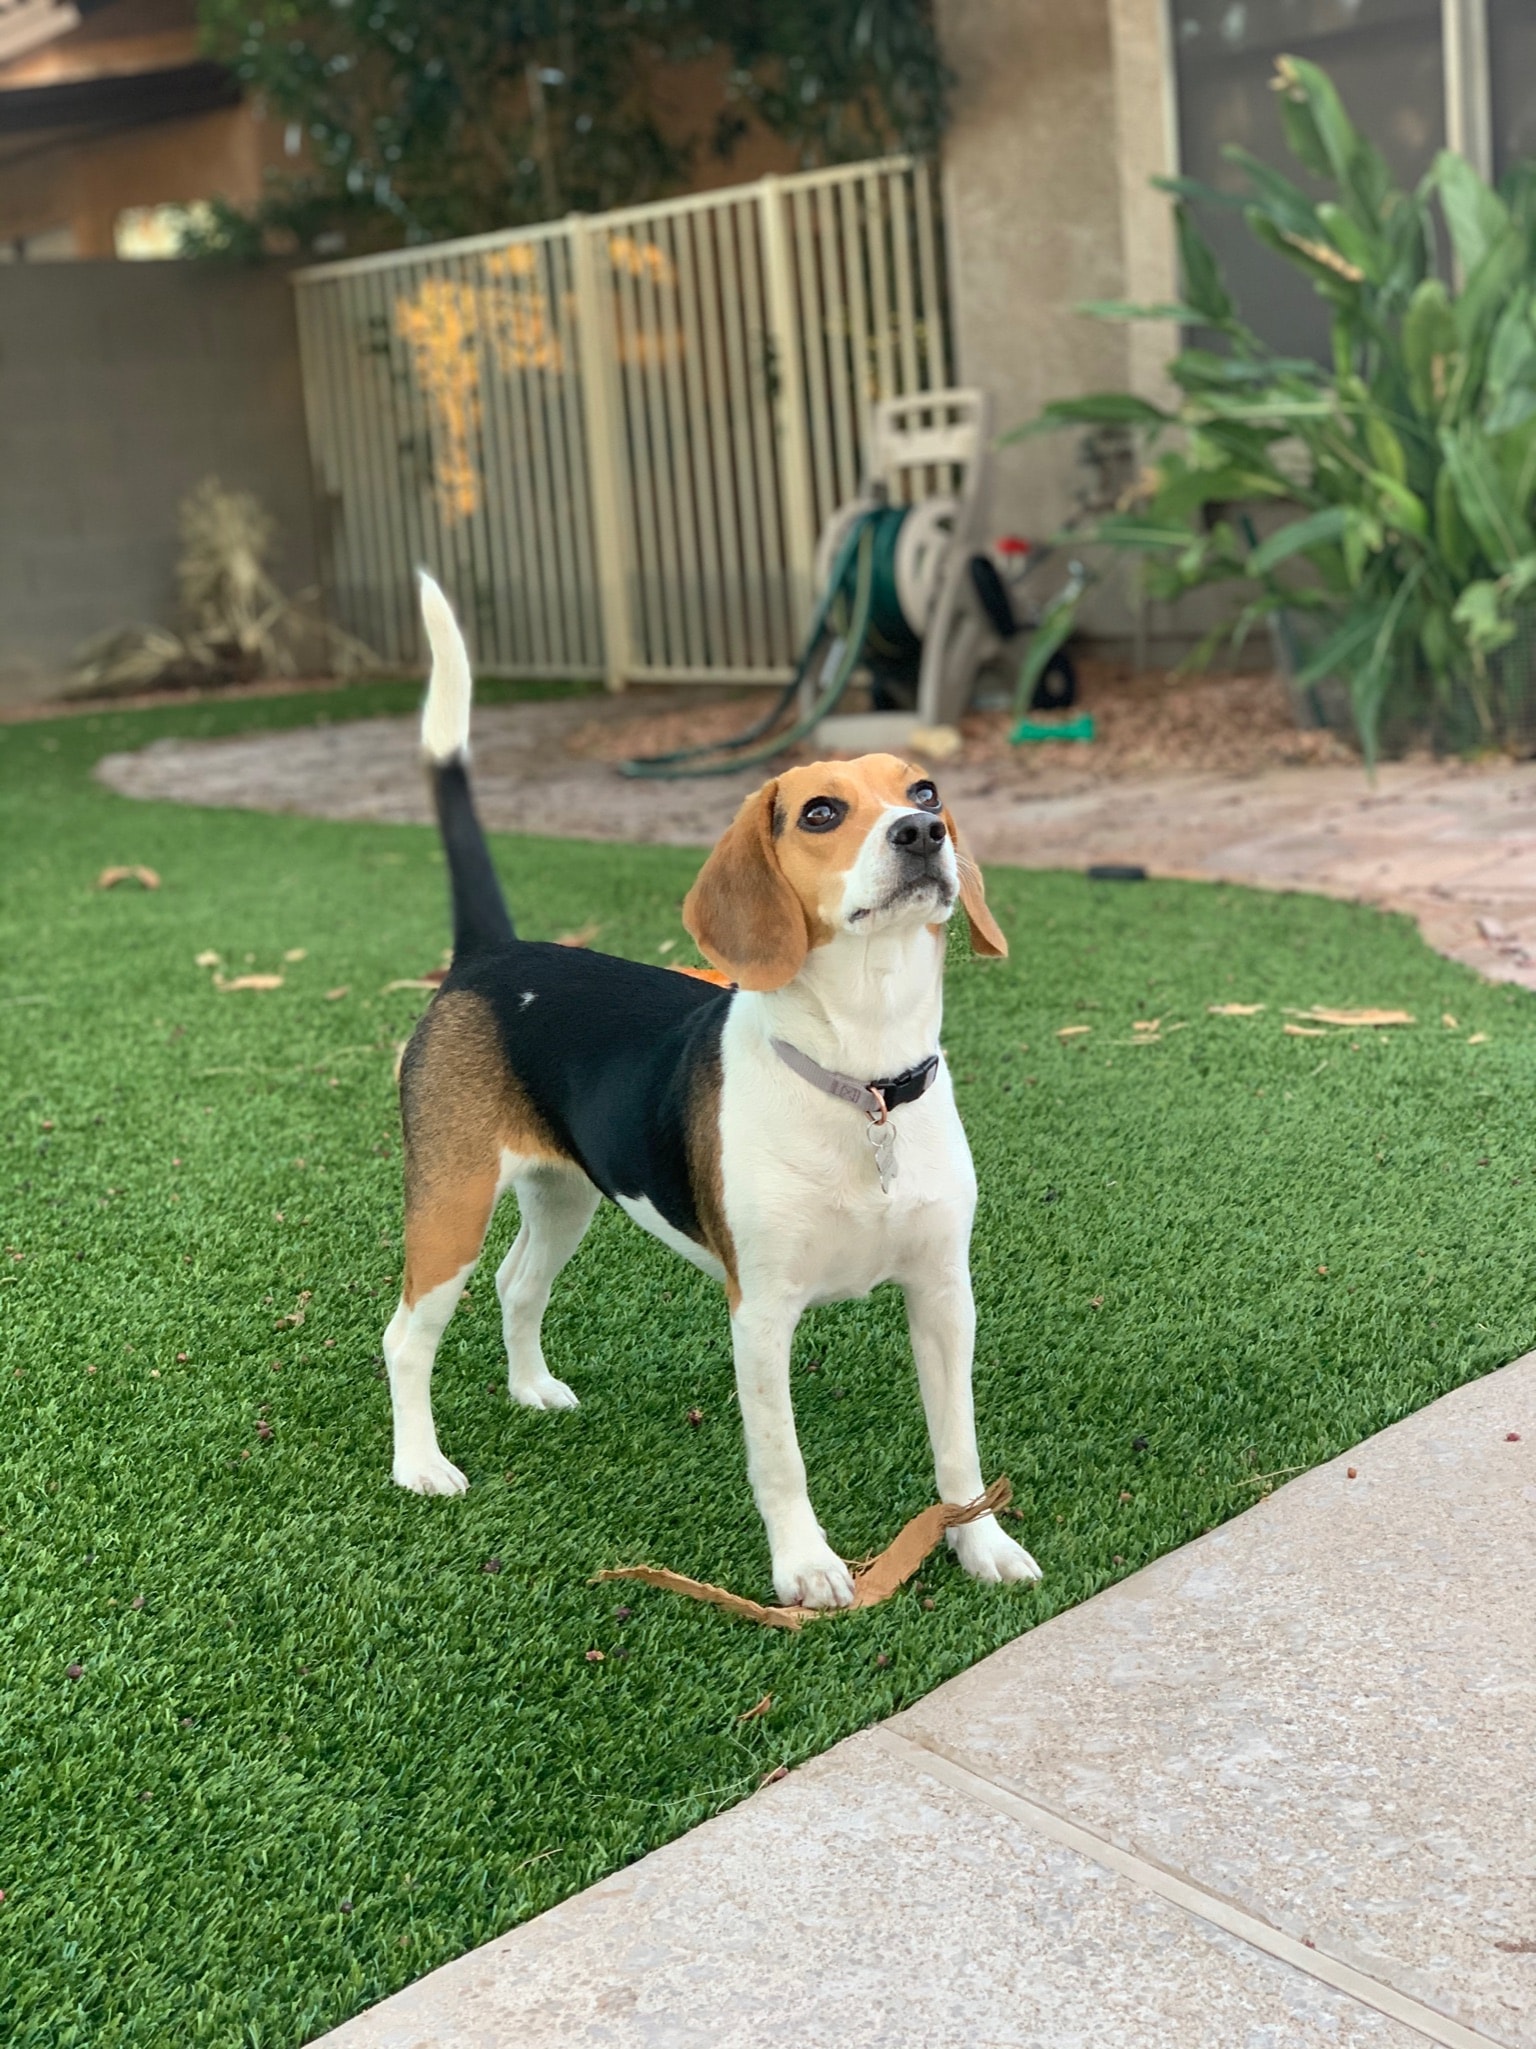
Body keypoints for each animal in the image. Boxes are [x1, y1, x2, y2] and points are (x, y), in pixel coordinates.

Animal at [382, 573, 1048, 1598]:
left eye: (925, 788)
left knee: (517, 1283)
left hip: (567, 1193)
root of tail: (492, 955)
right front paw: (806, 1568)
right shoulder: (761, 1312)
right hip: (451, 1199)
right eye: (820, 813)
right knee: (407, 1335)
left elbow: (958, 1449)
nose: (923, 832)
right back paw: (421, 1464)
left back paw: (533, 1389)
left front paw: (980, 1544)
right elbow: (781, 1457)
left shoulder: (943, 1292)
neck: (863, 1079)